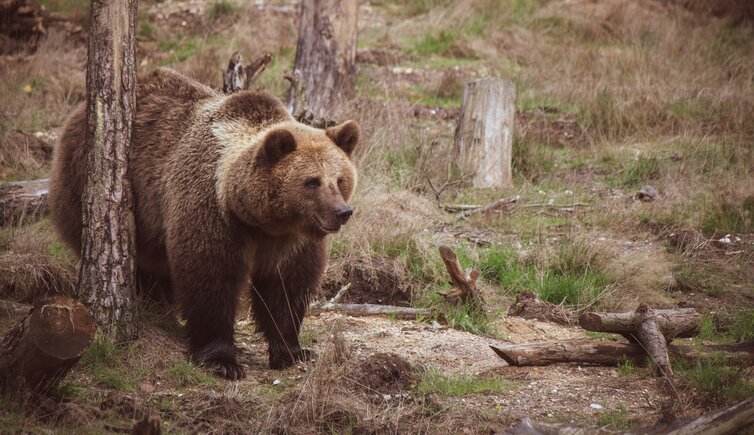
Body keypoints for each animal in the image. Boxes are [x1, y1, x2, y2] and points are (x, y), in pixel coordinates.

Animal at [49, 67, 358, 378]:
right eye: (312, 181)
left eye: (340, 179)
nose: (342, 212)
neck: (259, 219)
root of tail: (77, 114)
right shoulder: (211, 211)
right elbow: (209, 277)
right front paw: (221, 360)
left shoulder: (290, 240)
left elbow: (286, 287)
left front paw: (292, 351)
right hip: (92, 185)